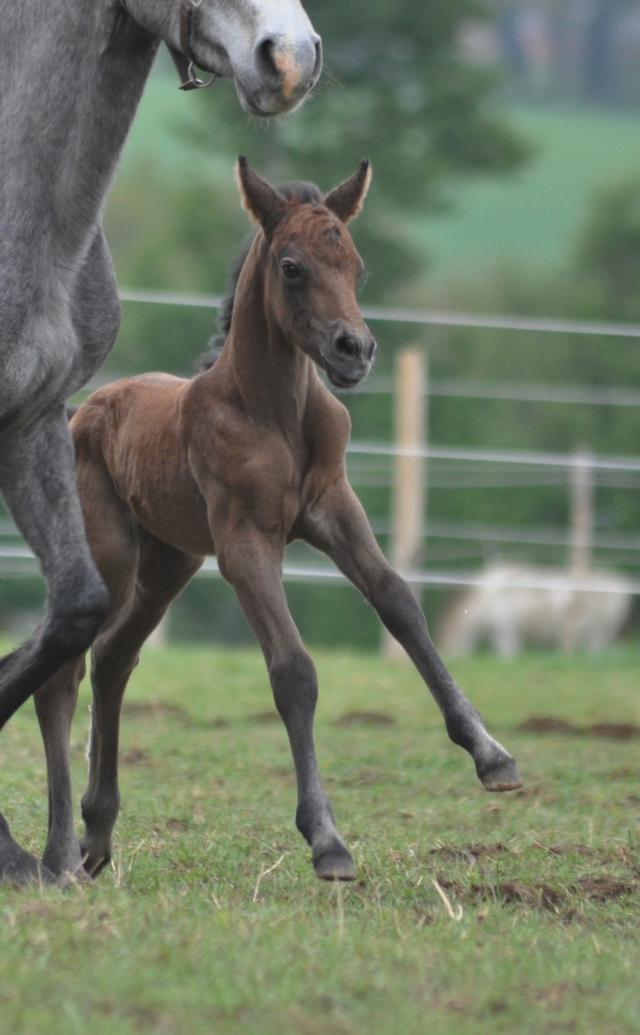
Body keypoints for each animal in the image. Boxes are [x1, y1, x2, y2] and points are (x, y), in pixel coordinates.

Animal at [32, 159, 517, 881]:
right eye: (292, 267)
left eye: (356, 266)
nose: (355, 349)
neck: (275, 412)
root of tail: (84, 410)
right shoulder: (245, 543)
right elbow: (293, 669)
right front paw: (326, 837)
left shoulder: (334, 508)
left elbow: (399, 603)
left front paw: (491, 754)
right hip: (113, 556)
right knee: (66, 672)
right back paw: (64, 849)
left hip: (169, 564)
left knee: (114, 655)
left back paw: (97, 831)